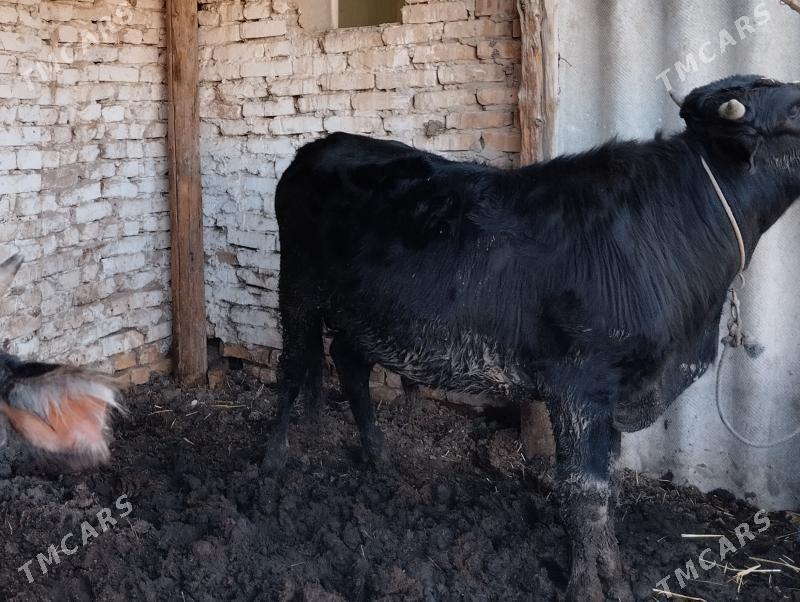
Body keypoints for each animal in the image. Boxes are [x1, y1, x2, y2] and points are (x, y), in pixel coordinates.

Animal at [266, 75, 800, 600]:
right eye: (794, 111)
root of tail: (323, 144)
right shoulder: (580, 385)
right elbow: (585, 493)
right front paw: (586, 587)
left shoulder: (613, 393)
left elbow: (609, 488)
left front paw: (616, 579)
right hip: (298, 287)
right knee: (290, 369)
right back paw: (274, 466)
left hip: (365, 312)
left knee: (349, 364)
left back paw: (378, 459)